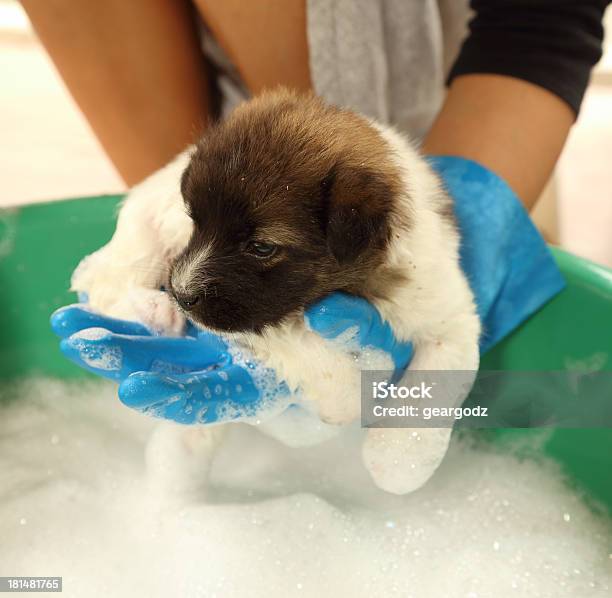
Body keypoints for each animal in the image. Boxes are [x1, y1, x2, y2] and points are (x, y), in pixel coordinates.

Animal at [73, 90, 482, 496]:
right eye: (196, 221)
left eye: (262, 247)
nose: (182, 295)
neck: (362, 285)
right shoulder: (257, 318)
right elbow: (321, 360)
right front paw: (348, 398)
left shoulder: (448, 313)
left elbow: (437, 382)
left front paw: (398, 460)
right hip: (146, 234)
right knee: (104, 282)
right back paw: (154, 312)